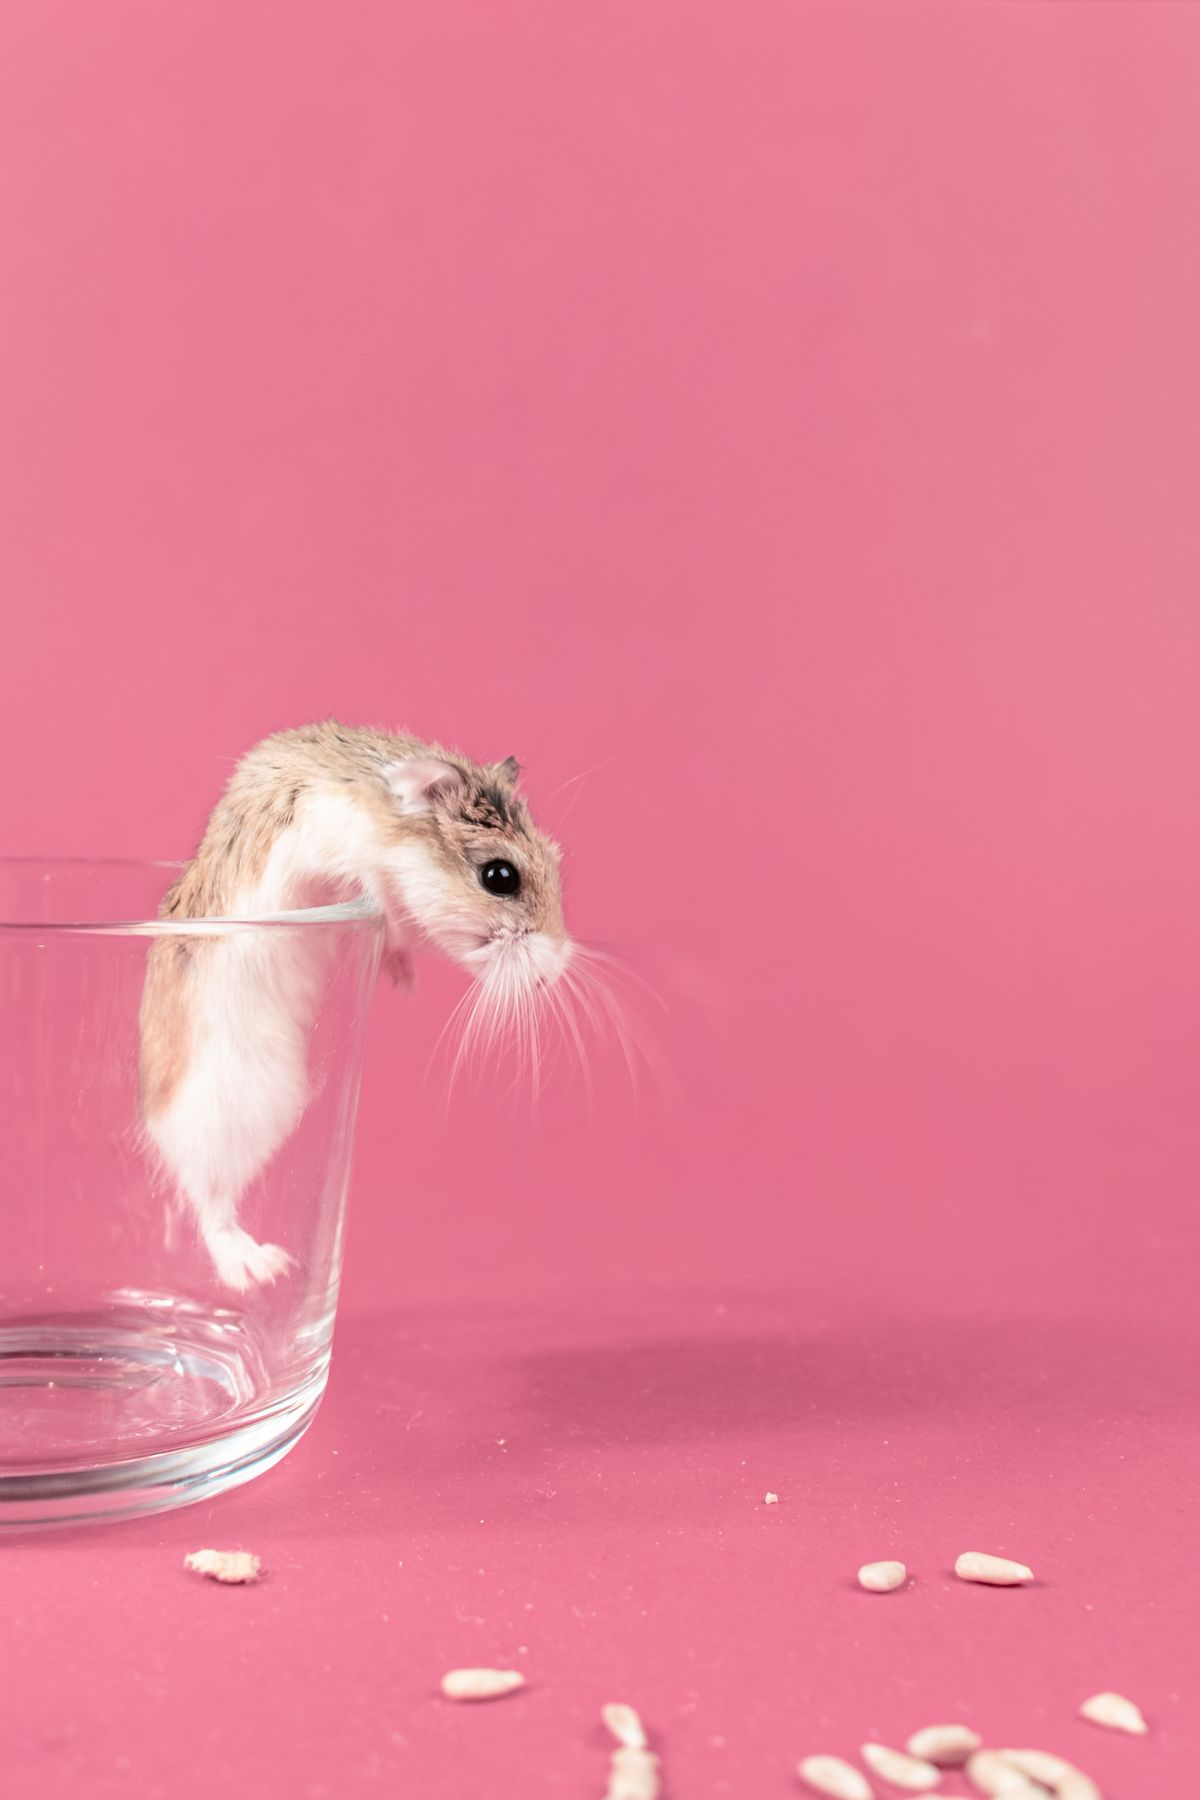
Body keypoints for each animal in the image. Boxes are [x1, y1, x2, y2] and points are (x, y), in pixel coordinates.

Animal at [139, 722, 571, 1291]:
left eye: (555, 864)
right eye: (500, 876)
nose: (554, 972)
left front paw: (405, 981)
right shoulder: (335, 847)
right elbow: (381, 901)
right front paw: (404, 975)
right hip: (231, 1110)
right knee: (210, 1203)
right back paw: (259, 1269)